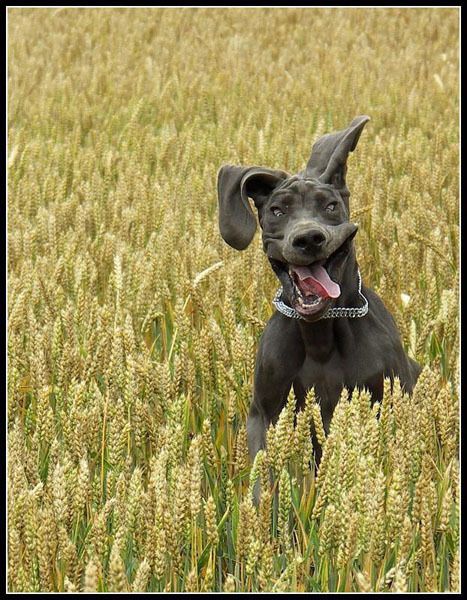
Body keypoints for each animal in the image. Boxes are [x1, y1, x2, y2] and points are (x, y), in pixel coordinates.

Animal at [218, 115, 422, 482]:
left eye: (330, 206)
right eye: (277, 211)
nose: (309, 238)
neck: (320, 335)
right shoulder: (264, 414)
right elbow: (264, 479)